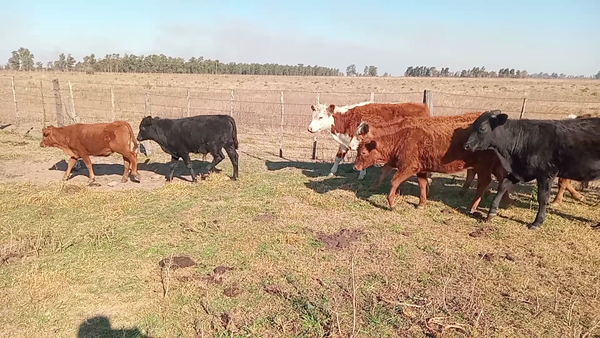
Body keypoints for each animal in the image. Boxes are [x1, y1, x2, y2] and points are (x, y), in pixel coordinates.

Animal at [352, 112, 510, 213]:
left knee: (485, 182)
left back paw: (473, 206)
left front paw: (392, 200)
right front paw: (422, 202)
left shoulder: (408, 166)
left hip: (484, 166)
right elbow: (417, 182)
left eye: (363, 152)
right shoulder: (416, 167)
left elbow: (393, 178)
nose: (355, 166)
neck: (401, 135)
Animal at [464, 110, 600, 230]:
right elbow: (503, 185)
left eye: (482, 128)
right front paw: (491, 212)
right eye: (473, 125)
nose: (466, 146)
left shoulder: (546, 174)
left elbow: (543, 197)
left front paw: (537, 222)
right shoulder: (522, 171)